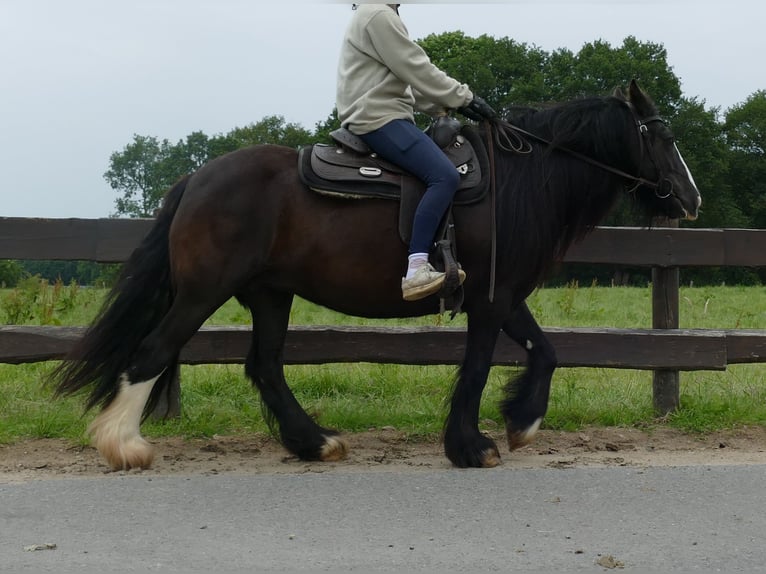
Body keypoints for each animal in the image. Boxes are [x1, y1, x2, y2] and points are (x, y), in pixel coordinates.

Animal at [51, 83, 704, 474]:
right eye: (664, 137)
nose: (691, 199)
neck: (517, 179)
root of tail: (196, 179)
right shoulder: (490, 300)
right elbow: (476, 368)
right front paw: (472, 446)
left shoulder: (502, 292)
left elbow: (545, 352)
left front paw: (521, 421)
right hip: (203, 292)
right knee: (154, 350)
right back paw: (124, 444)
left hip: (270, 294)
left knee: (264, 366)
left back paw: (314, 442)